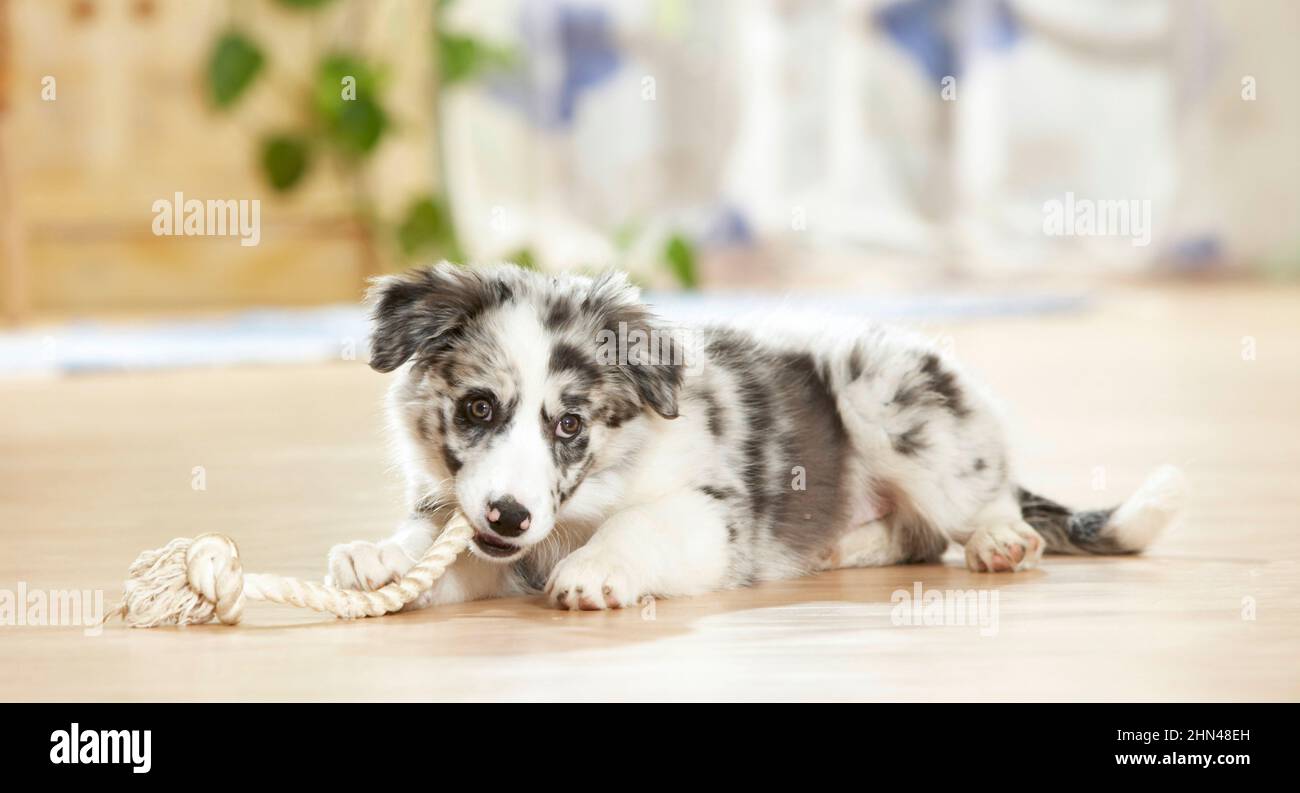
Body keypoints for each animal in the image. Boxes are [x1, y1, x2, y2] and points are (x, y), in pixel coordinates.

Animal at [327, 262, 1190, 608]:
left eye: (569, 424)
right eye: (478, 408)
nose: (508, 515)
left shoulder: (711, 515)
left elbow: (640, 526)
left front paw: (596, 571)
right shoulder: (489, 543)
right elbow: (437, 553)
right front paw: (378, 559)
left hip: (888, 393)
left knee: (983, 497)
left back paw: (1001, 540)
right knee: (913, 536)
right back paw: (845, 547)